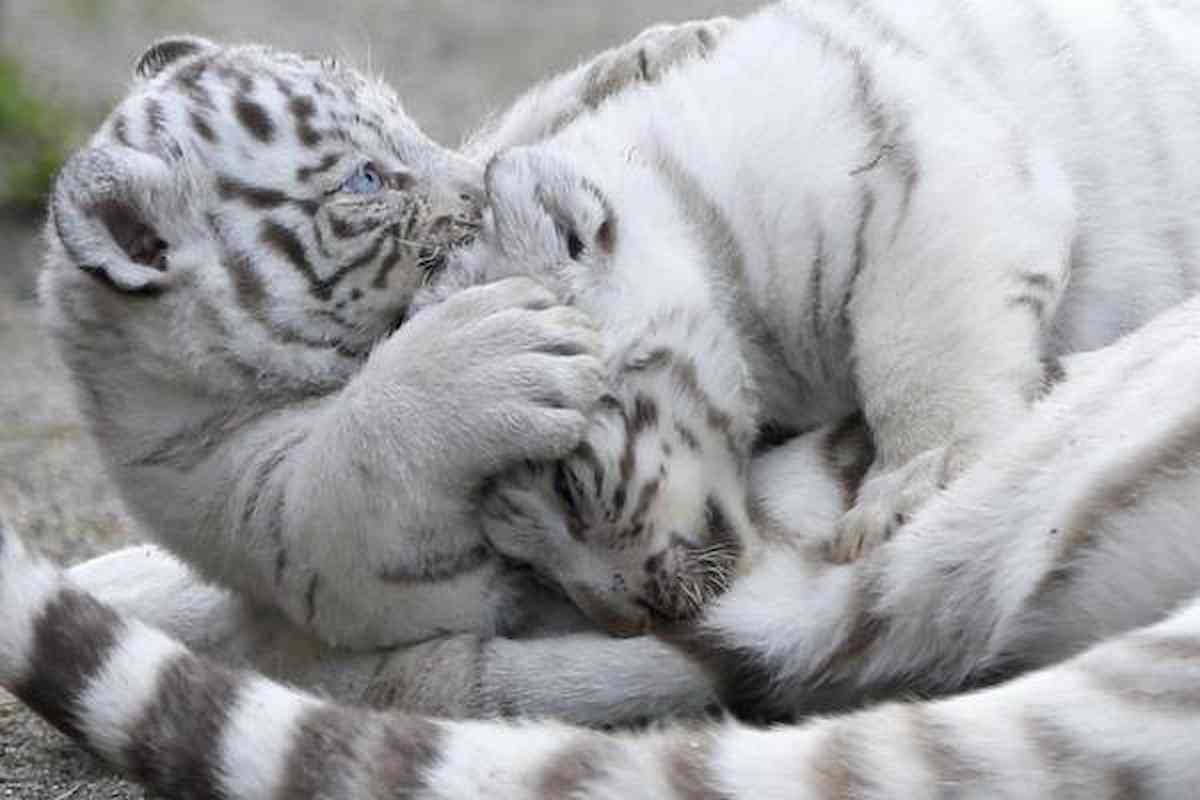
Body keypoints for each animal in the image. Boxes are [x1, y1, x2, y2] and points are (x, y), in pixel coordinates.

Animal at [38, 19, 734, 651]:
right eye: (365, 180)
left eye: (411, 129)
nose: (479, 188)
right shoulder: (295, 532)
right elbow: (357, 462)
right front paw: (487, 361)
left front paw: (667, 48)